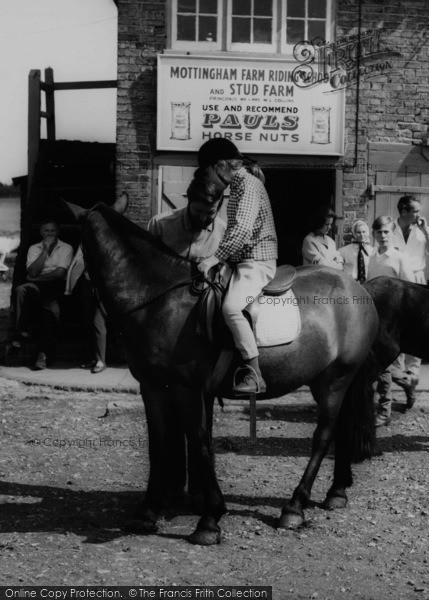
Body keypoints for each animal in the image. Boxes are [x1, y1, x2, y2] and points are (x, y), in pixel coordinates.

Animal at [71, 199, 378, 548]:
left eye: (77, 243)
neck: (160, 298)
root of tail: (356, 287)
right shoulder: (153, 388)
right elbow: (159, 444)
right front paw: (148, 511)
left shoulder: (186, 390)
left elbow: (200, 442)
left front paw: (209, 519)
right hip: (328, 381)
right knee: (341, 429)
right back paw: (336, 492)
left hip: (336, 380)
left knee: (322, 437)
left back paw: (294, 507)